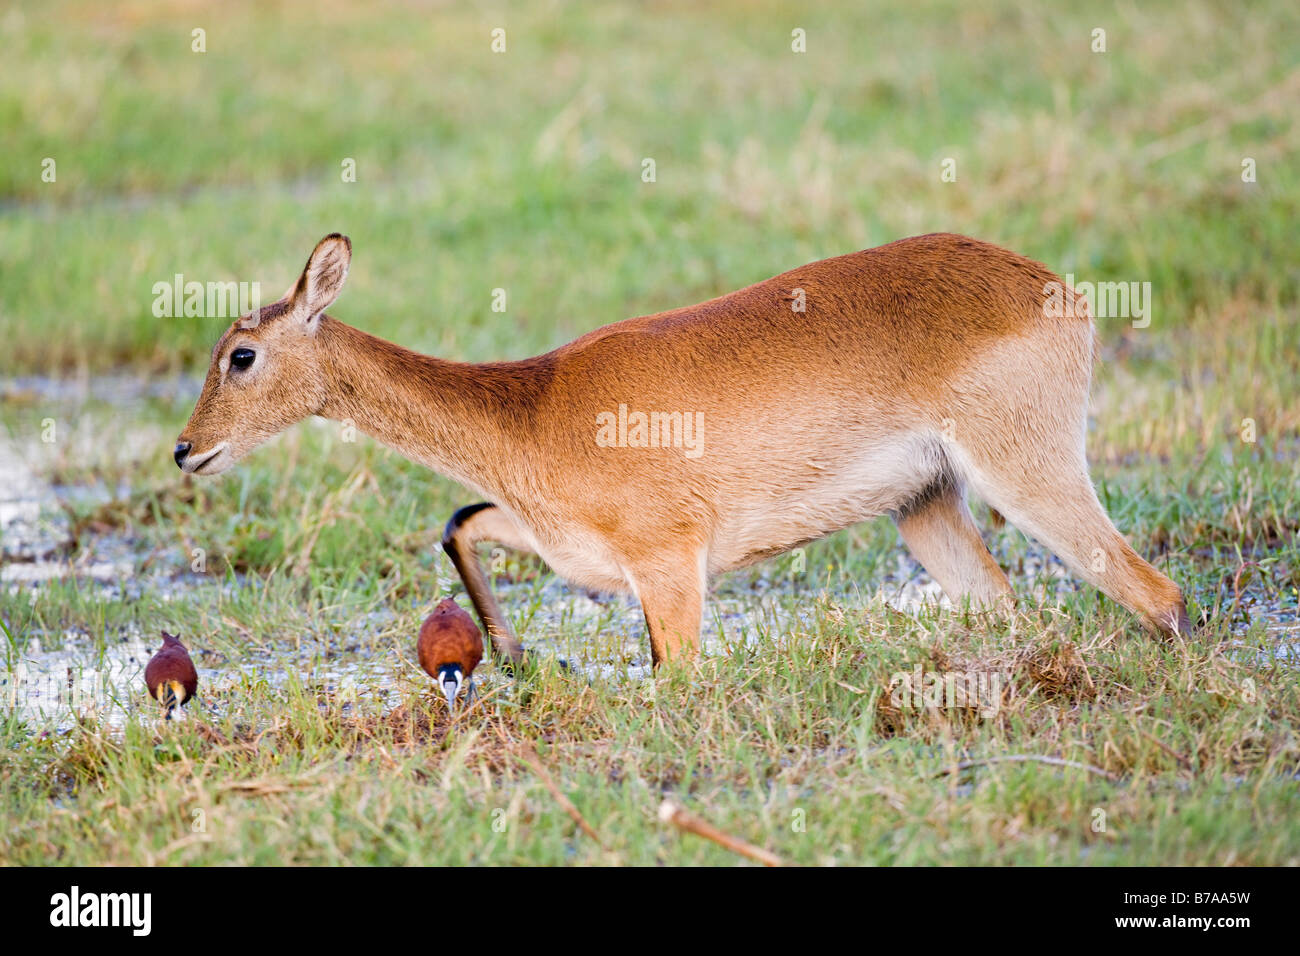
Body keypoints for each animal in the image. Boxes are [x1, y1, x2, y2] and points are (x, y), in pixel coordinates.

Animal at [172, 230, 1190, 671]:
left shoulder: (670, 562)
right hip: (926, 509)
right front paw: (512, 654)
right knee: (1016, 611)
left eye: (240, 354)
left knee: (1162, 598)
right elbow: (460, 518)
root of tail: (1053, 286)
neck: (532, 410)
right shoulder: (570, 549)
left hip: (1027, 474)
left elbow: (676, 676)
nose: (186, 450)